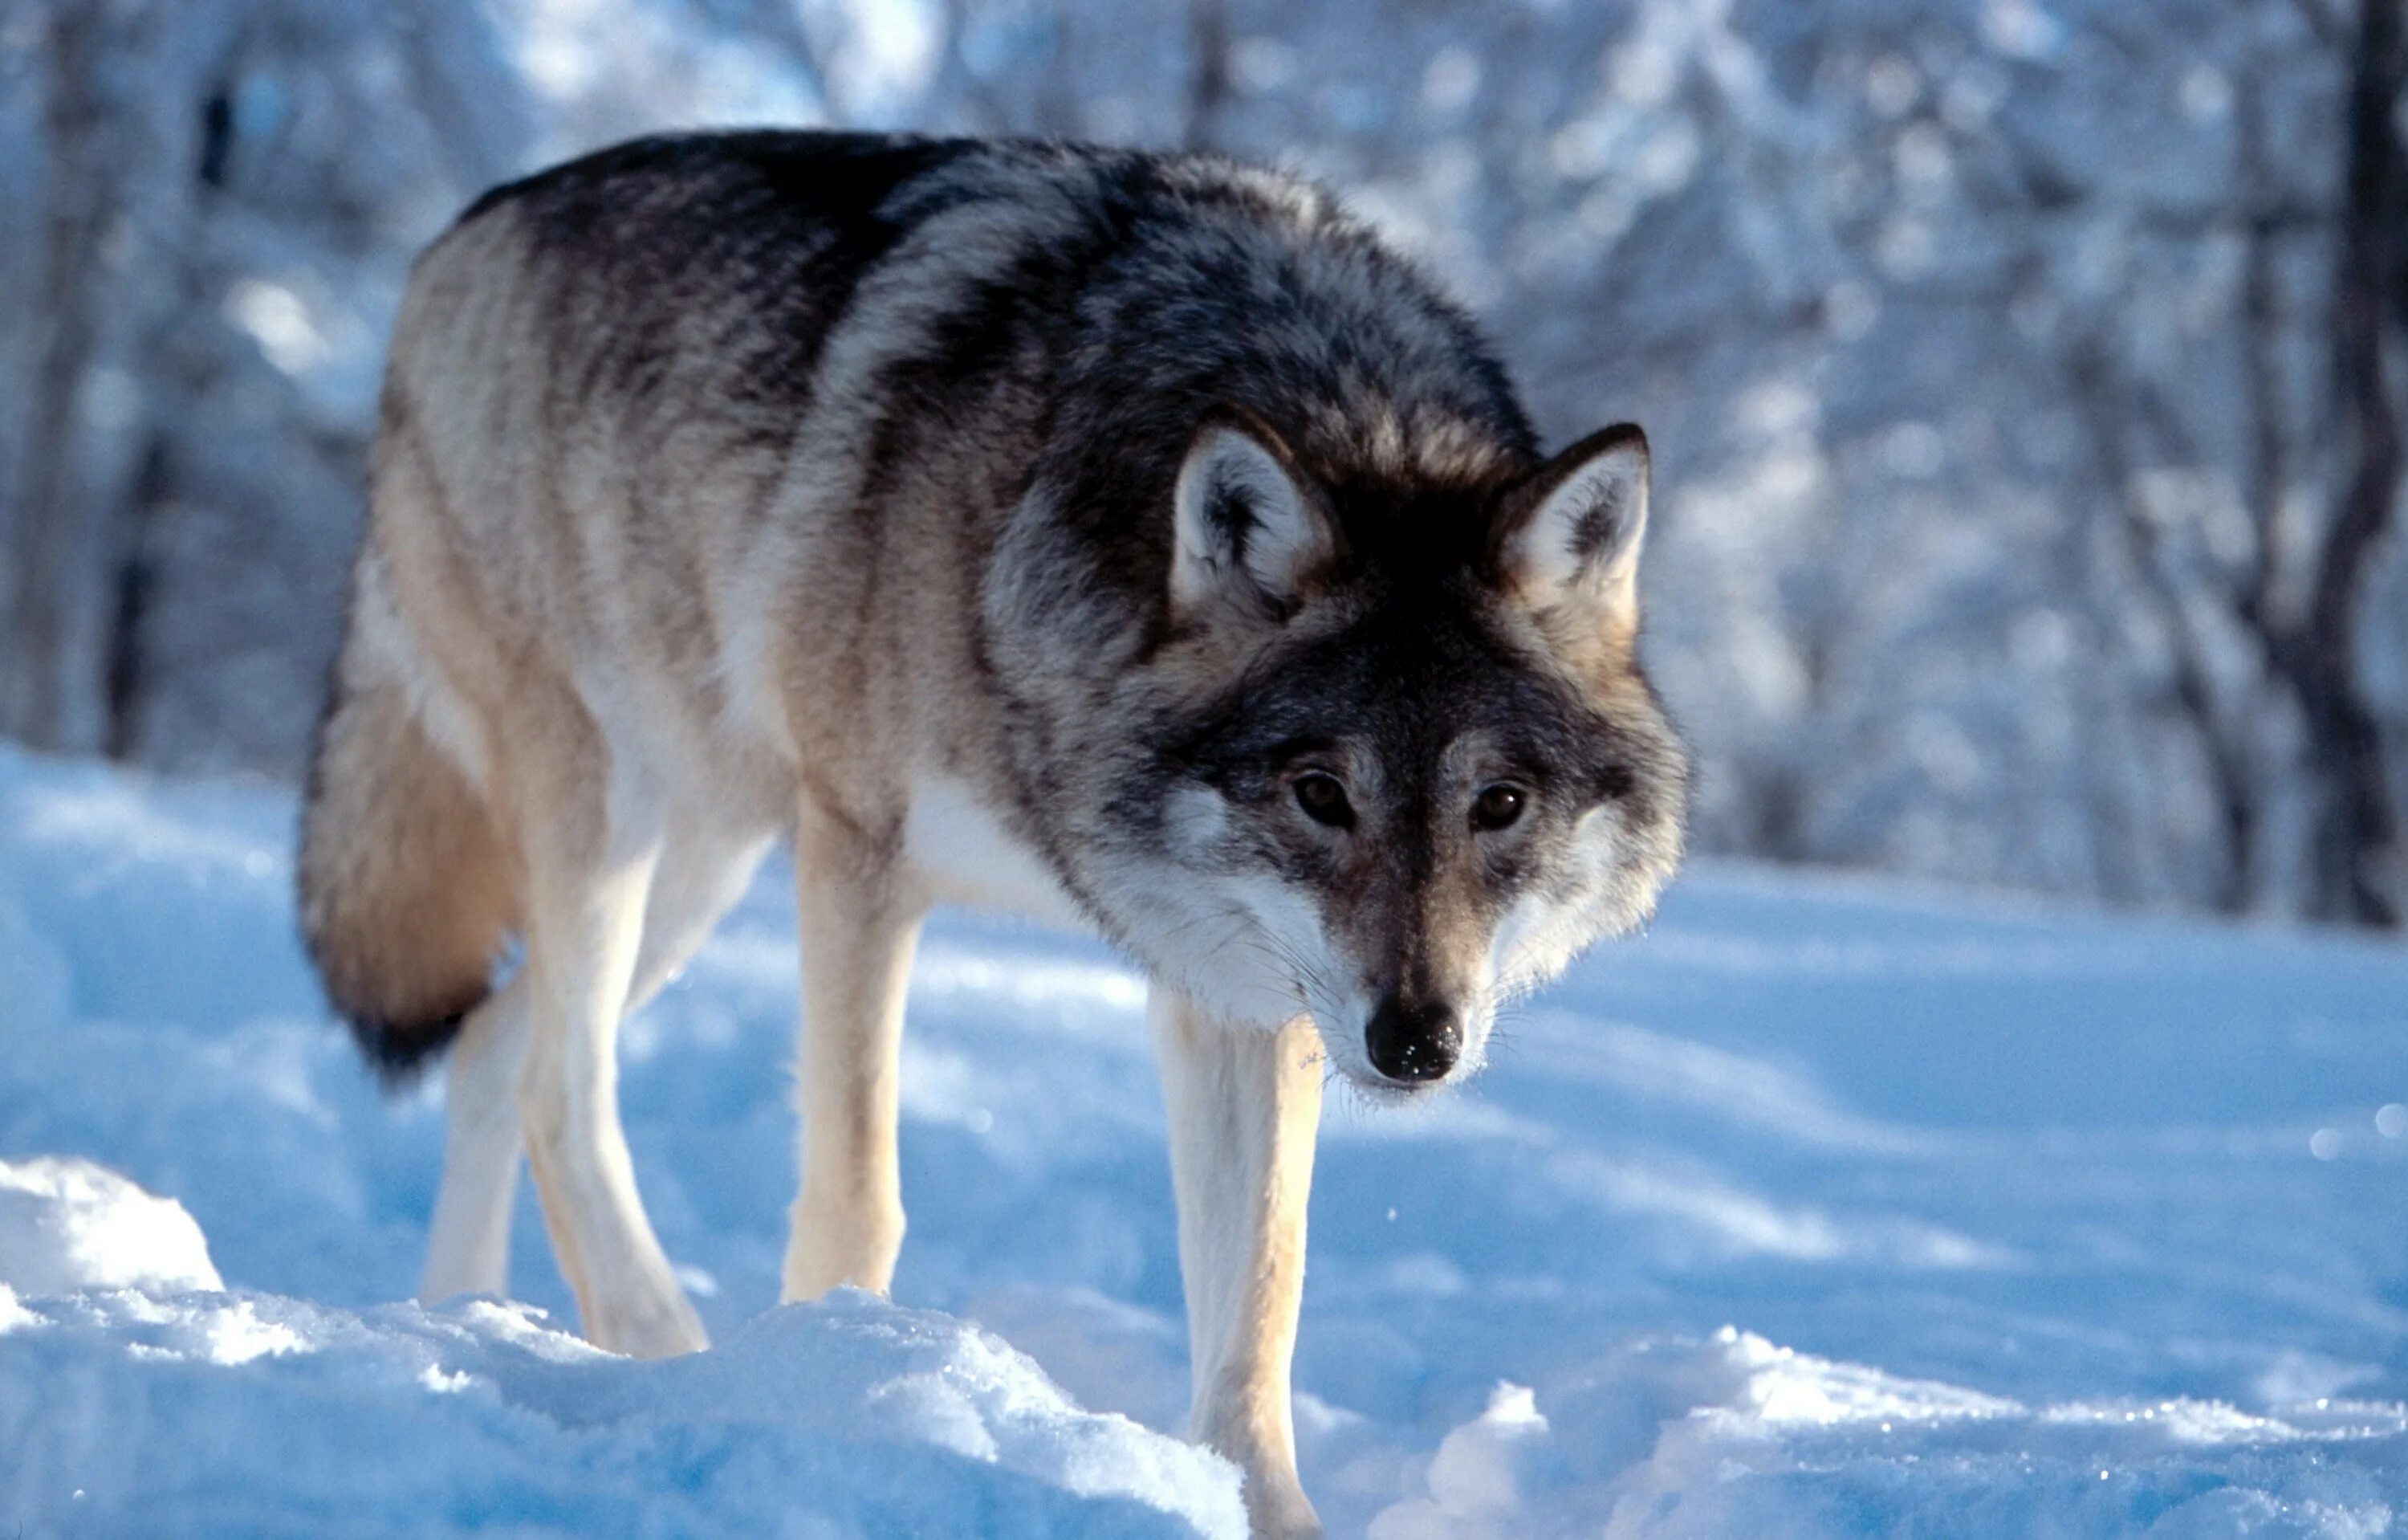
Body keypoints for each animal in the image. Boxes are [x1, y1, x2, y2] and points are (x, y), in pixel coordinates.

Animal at [301, 129, 1686, 1532]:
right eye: (1321, 794)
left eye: (1497, 804)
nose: (1417, 1044)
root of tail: (458, 236)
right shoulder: (860, 858)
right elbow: (860, 1198)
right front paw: (838, 1398)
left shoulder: (1241, 983)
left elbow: (1260, 1296)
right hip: (614, 813)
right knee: (556, 1081)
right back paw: (656, 1344)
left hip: (708, 855)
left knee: (490, 1047)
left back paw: (462, 1317)